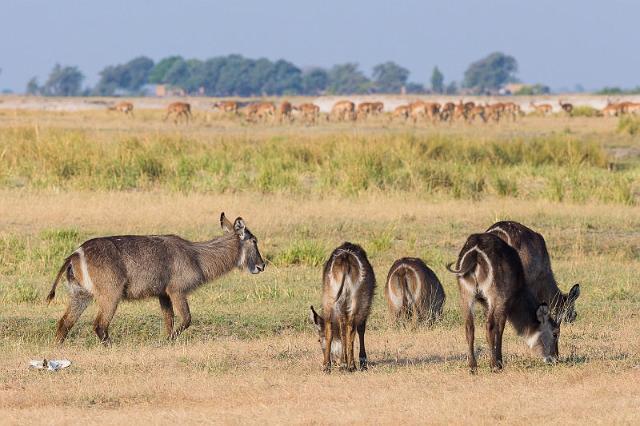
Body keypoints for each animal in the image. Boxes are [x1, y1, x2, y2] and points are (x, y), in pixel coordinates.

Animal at [46, 213, 264, 346]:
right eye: (254, 240)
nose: (262, 266)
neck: (197, 257)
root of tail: (75, 254)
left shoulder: (163, 294)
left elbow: (169, 320)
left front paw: (165, 340)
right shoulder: (177, 290)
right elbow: (186, 319)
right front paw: (167, 341)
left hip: (80, 295)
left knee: (64, 323)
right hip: (111, 294)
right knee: (99, 325)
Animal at [310, 241, 376, 372]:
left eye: (319, 340)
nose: (335, 361)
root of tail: (345, 257)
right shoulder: (366, 305)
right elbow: (360, 329)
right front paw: (362, 361)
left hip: (332, 298)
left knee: (337, 327)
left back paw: (332, 365)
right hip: (355, 300)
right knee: (347, 327)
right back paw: (348, 365)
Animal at [444, 233, 560, 372]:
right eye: (555, 333)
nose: (555, 359)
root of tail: (475, 252)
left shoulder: (486, 304)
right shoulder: (505, 302)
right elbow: (500, 328)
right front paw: (499, 362)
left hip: (466, 296)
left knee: (469, 327)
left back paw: (473, 367)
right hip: (495, 296)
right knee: (489, 326)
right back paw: (493, 365)